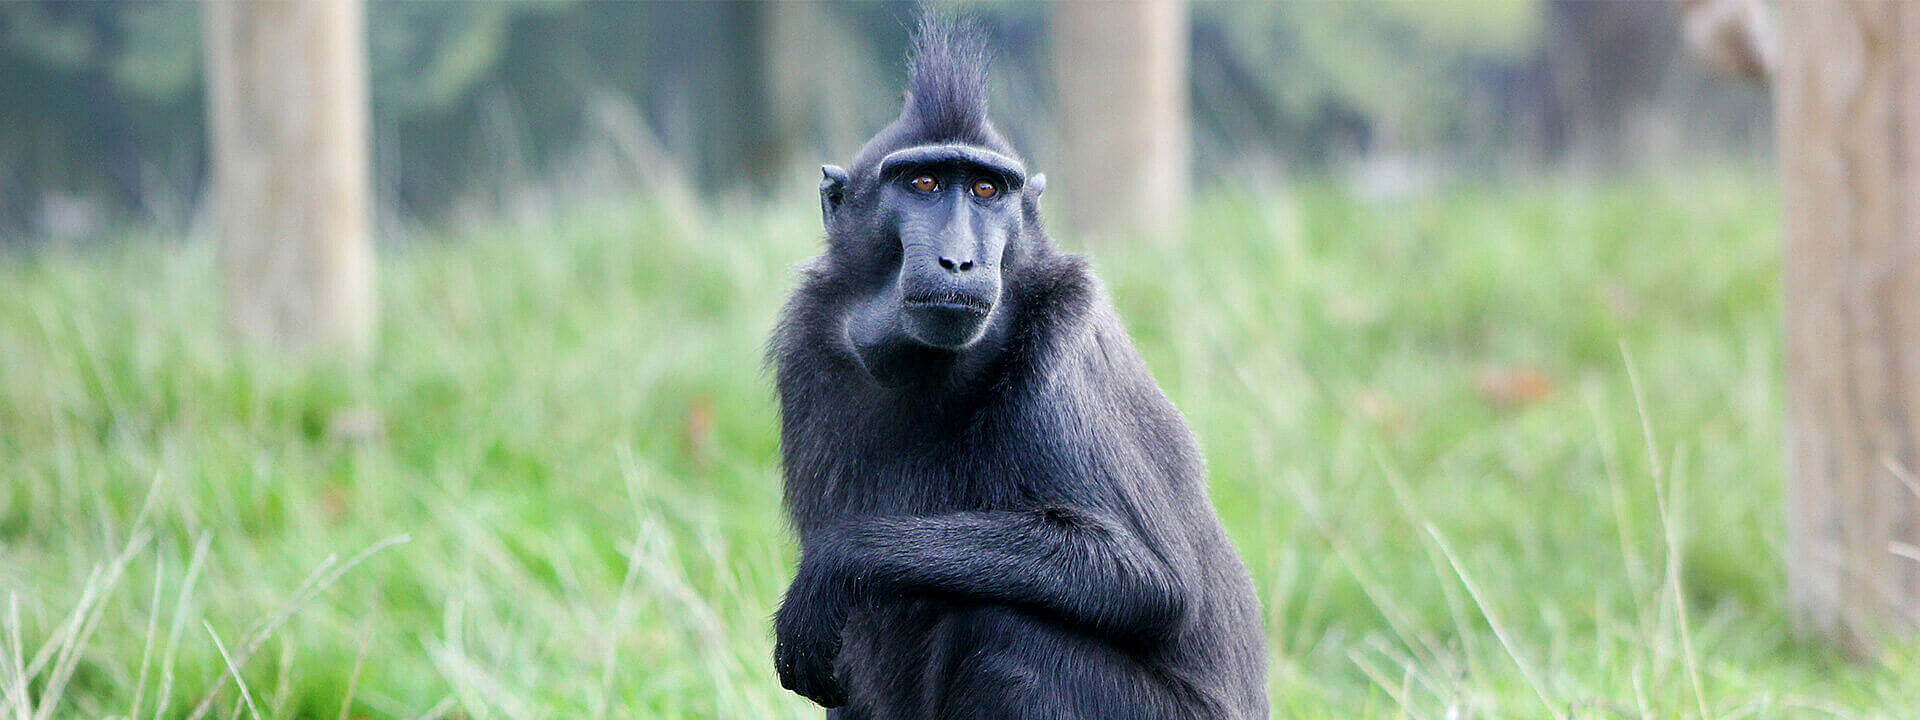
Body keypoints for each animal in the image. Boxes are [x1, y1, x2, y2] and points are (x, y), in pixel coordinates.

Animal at [769, 17, 1267, 720]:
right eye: (922, 184)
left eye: (985, 190)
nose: (958, 262)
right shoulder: (809, 346)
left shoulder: (1062, 344)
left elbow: (1152, 580)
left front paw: (836, 564)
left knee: (1007, 632)